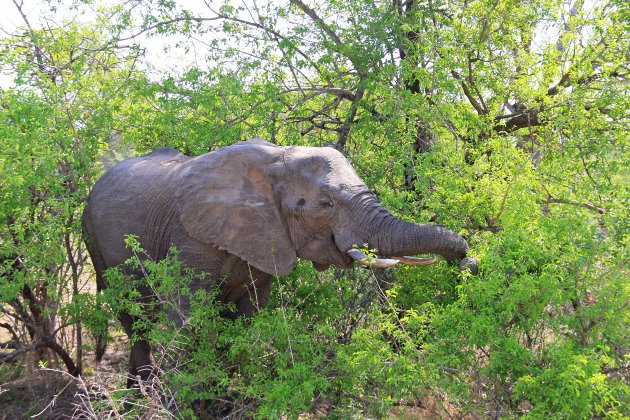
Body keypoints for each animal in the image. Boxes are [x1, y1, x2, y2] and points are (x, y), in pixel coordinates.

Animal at [82, 138, 478, 388]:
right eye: (326, 204)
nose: (469, 264)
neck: (277, 159)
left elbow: (247, 316)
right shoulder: (189, 238)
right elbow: (191, 319)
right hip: (96, 243)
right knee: (134, 320)